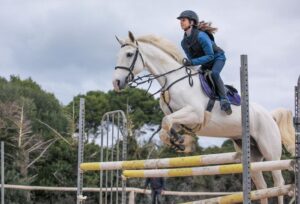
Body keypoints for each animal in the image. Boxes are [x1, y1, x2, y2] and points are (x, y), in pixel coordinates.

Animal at [112, 31, 296, 203]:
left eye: (129, 54)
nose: (116, 83)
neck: (172, 80)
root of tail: (269, 115)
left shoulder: (195, 114)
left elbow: (166, 121)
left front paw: (180, 141)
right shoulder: (178, 117)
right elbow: (165, 127)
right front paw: (178, 142)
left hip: (271, 153)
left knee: (278, 183)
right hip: (253, 156)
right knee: (262, 187)